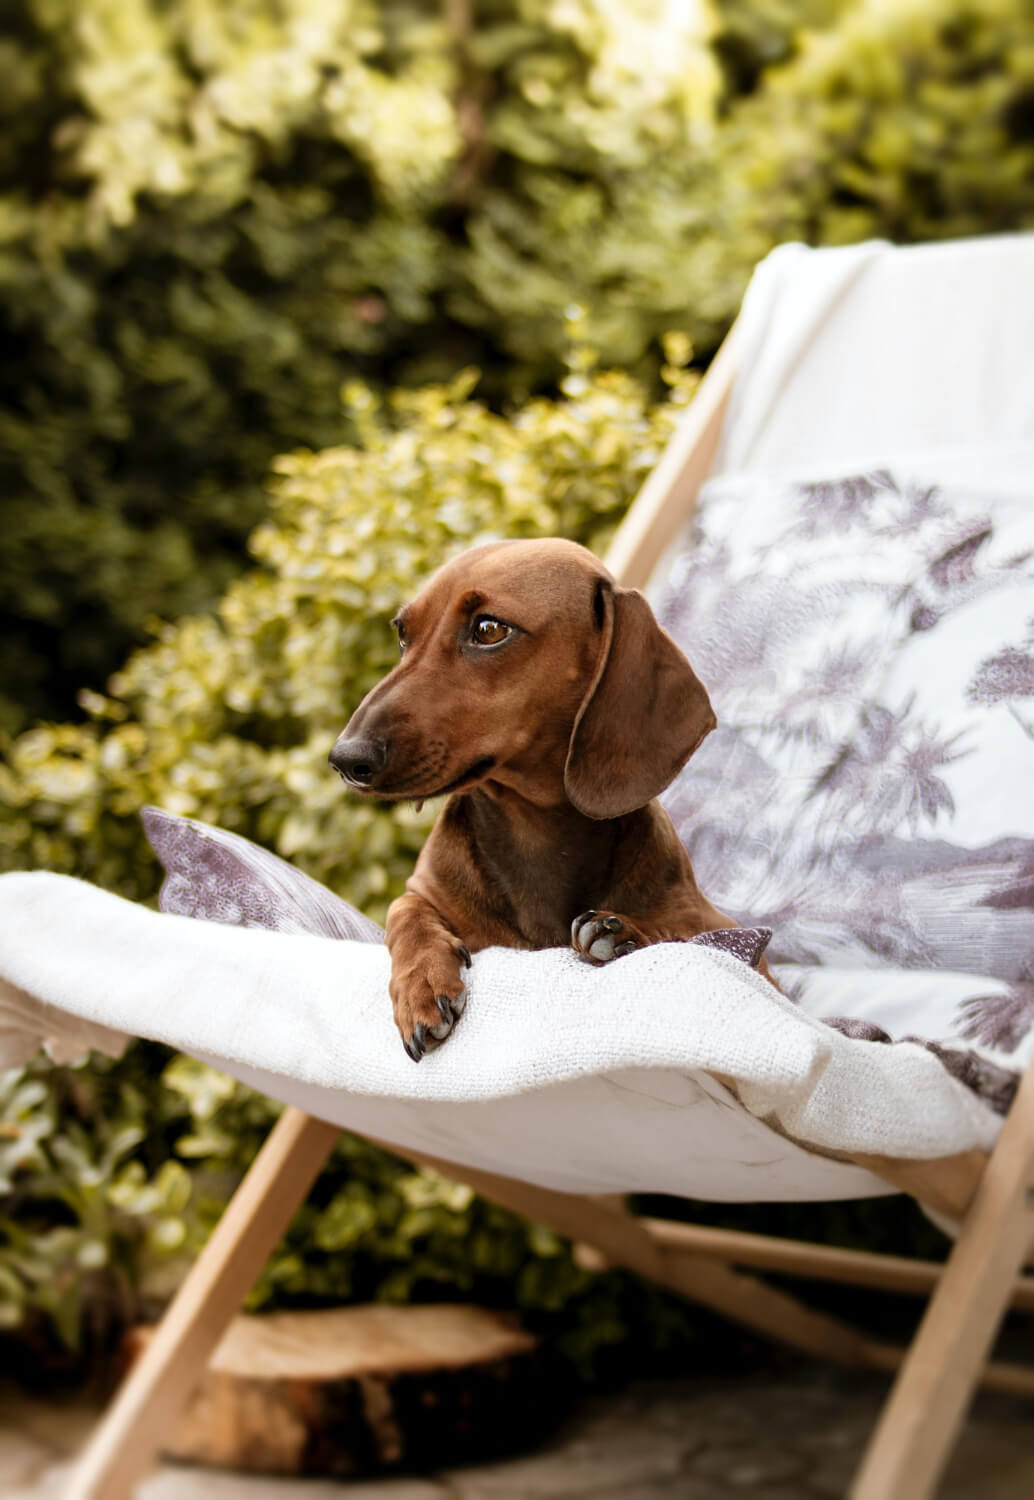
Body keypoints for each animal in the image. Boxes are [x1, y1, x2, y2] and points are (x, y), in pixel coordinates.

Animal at [330, 534, 741, 1062]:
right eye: (403, 634)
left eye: (489, 629)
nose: (345, 759)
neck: (533, 829)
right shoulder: (420, 890)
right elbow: (404, 914)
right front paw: (421, 982)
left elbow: (693, 935)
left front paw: (626, 931)